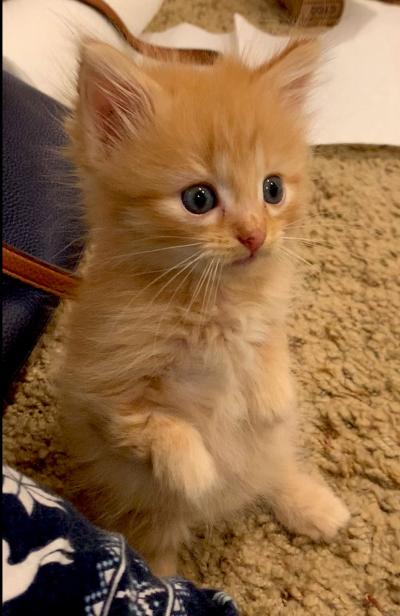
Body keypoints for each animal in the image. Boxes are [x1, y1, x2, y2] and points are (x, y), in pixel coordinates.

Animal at [59, 38, 350, 576]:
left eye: (272, 189)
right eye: (199, 199)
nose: (255, 235)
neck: (212, 303)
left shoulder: (266, 318)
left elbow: (270, 348)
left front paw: (275, 398)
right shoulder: (97, 395)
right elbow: (152, 424)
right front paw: (196, 472)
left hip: (267, 456)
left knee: (272, 468)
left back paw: (314, 506)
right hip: (145, 513)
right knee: (157, 546)